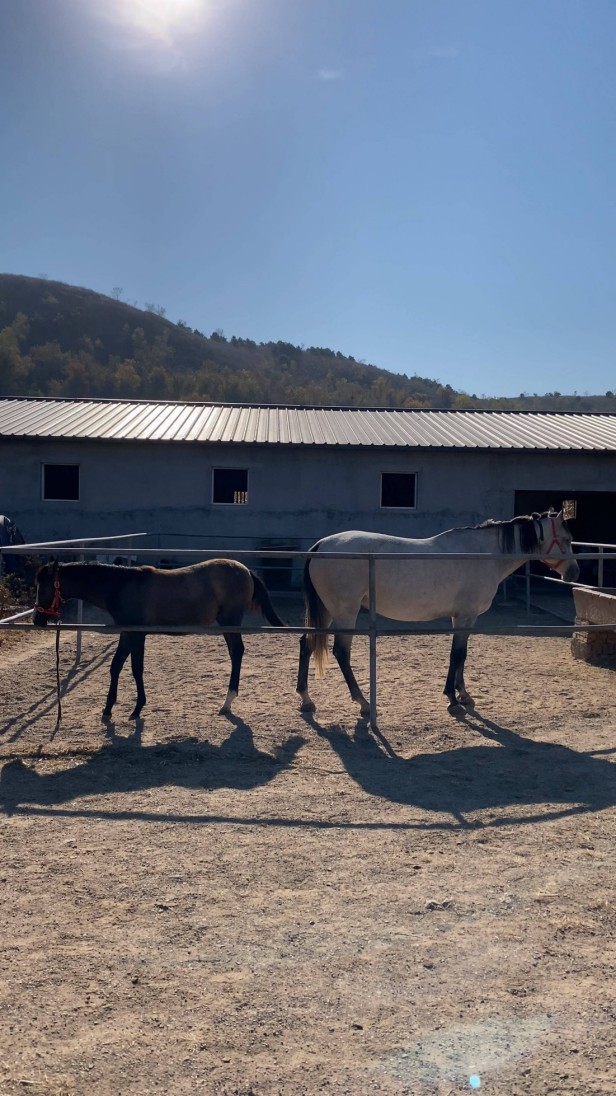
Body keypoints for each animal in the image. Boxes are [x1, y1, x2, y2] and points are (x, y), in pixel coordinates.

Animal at [33, 561, 282, 723]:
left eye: (43, 588)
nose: (37, 620)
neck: (121, 586)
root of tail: (246, 570)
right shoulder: (127, 633)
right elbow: (116, 666)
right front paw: (107, 709)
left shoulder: (137, 635)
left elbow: (136, 669)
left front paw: (136, 709)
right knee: (234, 653)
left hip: (230, 621)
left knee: (237, 652)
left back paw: (227, 701)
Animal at [295, 512, 578, 718]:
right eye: (566, 539)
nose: (574, 572)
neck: (482, 554)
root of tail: (321, 546)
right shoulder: (463, 617)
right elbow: (456, 655)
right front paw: (452, 700)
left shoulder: (466, 618)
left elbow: (463, 655)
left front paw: (464, 695)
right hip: (345, 612)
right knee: (341, 653)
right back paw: (363, 703)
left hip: (327, 611)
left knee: (306, 644)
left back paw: (306, 699)